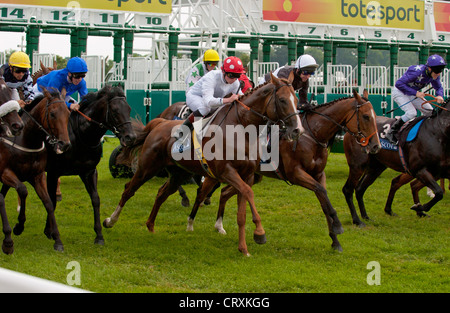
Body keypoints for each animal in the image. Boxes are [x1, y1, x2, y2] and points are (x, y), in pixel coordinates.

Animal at [0, 88, 70, 254]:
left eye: (68, 113)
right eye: (52, 114)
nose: (64, 144)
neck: (27, 140)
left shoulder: (38, 175)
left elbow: (48, 202)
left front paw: (57, 240)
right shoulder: (6, 173)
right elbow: (23, 190)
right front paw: (18, 227)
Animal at [43, 84, 136, 245]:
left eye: (129, 108)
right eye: (115, 110)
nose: (130, 137)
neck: (81, 135)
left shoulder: (89, 171)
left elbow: (95, 199)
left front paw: (99, 235)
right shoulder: (54, 172)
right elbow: (51, 200)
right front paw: (50, 232)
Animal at [103, 73, 304, 256]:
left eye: (297, 100)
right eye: (283, 100)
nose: (298, 130)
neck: (241, 128)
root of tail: (159, 123)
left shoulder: (246, 175)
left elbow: (242, 212)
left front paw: (243, 248)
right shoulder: (226, 172)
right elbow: (248, 192)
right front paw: (260, 233)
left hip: (179, 173)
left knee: (161, 193)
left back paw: (150, 225)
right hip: (147, 167)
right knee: (129, 189)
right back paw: (110, 220)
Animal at [186, 88, 380, 251]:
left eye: (374, 116)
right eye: (366, 117)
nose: (376, 145)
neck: (312, 135)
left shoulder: (318, 174)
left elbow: (323, 200)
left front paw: (335, 241)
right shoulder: (296, 174)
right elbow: (322, 192)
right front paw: (337, 224)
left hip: (251, 176)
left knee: (225, 192)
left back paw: (219, 225)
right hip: (216, 172)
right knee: (202, 192)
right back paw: (191, 222)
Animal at [342, 96, 448, 225]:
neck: (437, 132)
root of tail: (350, 130)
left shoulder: (439, 171)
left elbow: (438, 191)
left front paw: (419, 207)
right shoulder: (420, 170)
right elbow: (439, 192)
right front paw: (419, 206)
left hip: (376, 167)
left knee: (360, 188)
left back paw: (369, 215)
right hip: (358, 166)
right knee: (351, 189)